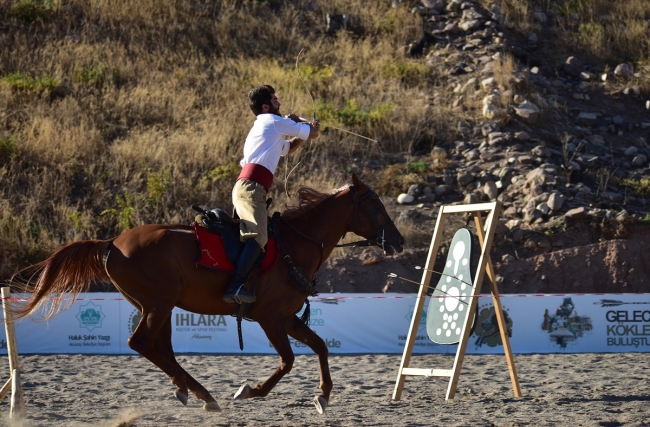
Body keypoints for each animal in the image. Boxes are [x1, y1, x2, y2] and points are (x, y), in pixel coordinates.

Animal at [15, 174, 402, 414]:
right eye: (375, 205)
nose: (398, 241)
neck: (294, 245)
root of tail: (112, 242)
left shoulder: (287, 317)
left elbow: (320, 346)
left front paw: (322, 396)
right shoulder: (269, 318)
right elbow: (288, 361)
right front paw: (251, 390)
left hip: (159, 306)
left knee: (161, 348)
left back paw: (191, 391)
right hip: (158, 303)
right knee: (141, 343)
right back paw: (201, 393)